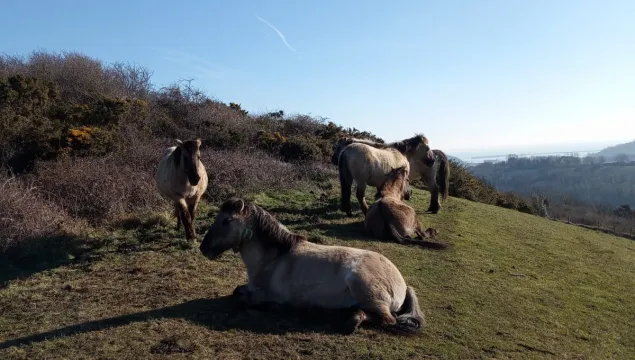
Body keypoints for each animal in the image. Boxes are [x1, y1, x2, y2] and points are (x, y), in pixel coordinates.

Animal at [199, 197, 428, 334]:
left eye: (226, 221)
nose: (203, 248)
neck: (273, 258)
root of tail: (402, 283)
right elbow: (236, 291)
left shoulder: (265, 294)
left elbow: (242, 299)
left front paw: (274, 306)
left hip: (363, 285)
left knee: (387, 320)